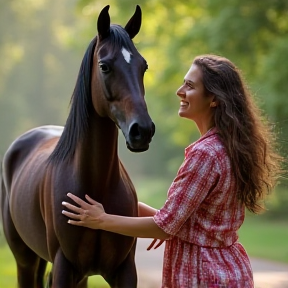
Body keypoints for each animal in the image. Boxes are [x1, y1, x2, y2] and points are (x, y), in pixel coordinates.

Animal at [0, 5, 155, 288]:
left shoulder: (125, 270)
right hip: (25, 260)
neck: (96, 184)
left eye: (144, 66)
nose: (143, 130)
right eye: (104, 66)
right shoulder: (63, 267)